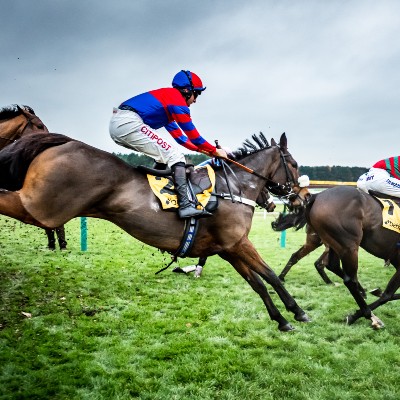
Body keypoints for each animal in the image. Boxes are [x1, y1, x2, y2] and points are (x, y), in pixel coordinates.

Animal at [0, 131, 310, 332]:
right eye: (294, 164)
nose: (299, 199)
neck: (232, 188)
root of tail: (64, 142)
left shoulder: (228, 248)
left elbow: (258, 283)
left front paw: (282, 319)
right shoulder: (239, 244)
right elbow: (270, 275)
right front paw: (297, 311)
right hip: (40, 209)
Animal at [292, 187, 400, 328]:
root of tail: (317, 196)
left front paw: (375, 292)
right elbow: (387, 295)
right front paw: (354, 315)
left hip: (332, 242)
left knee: (332, 265)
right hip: (348, 246)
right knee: (350, 280)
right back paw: (370, 315)